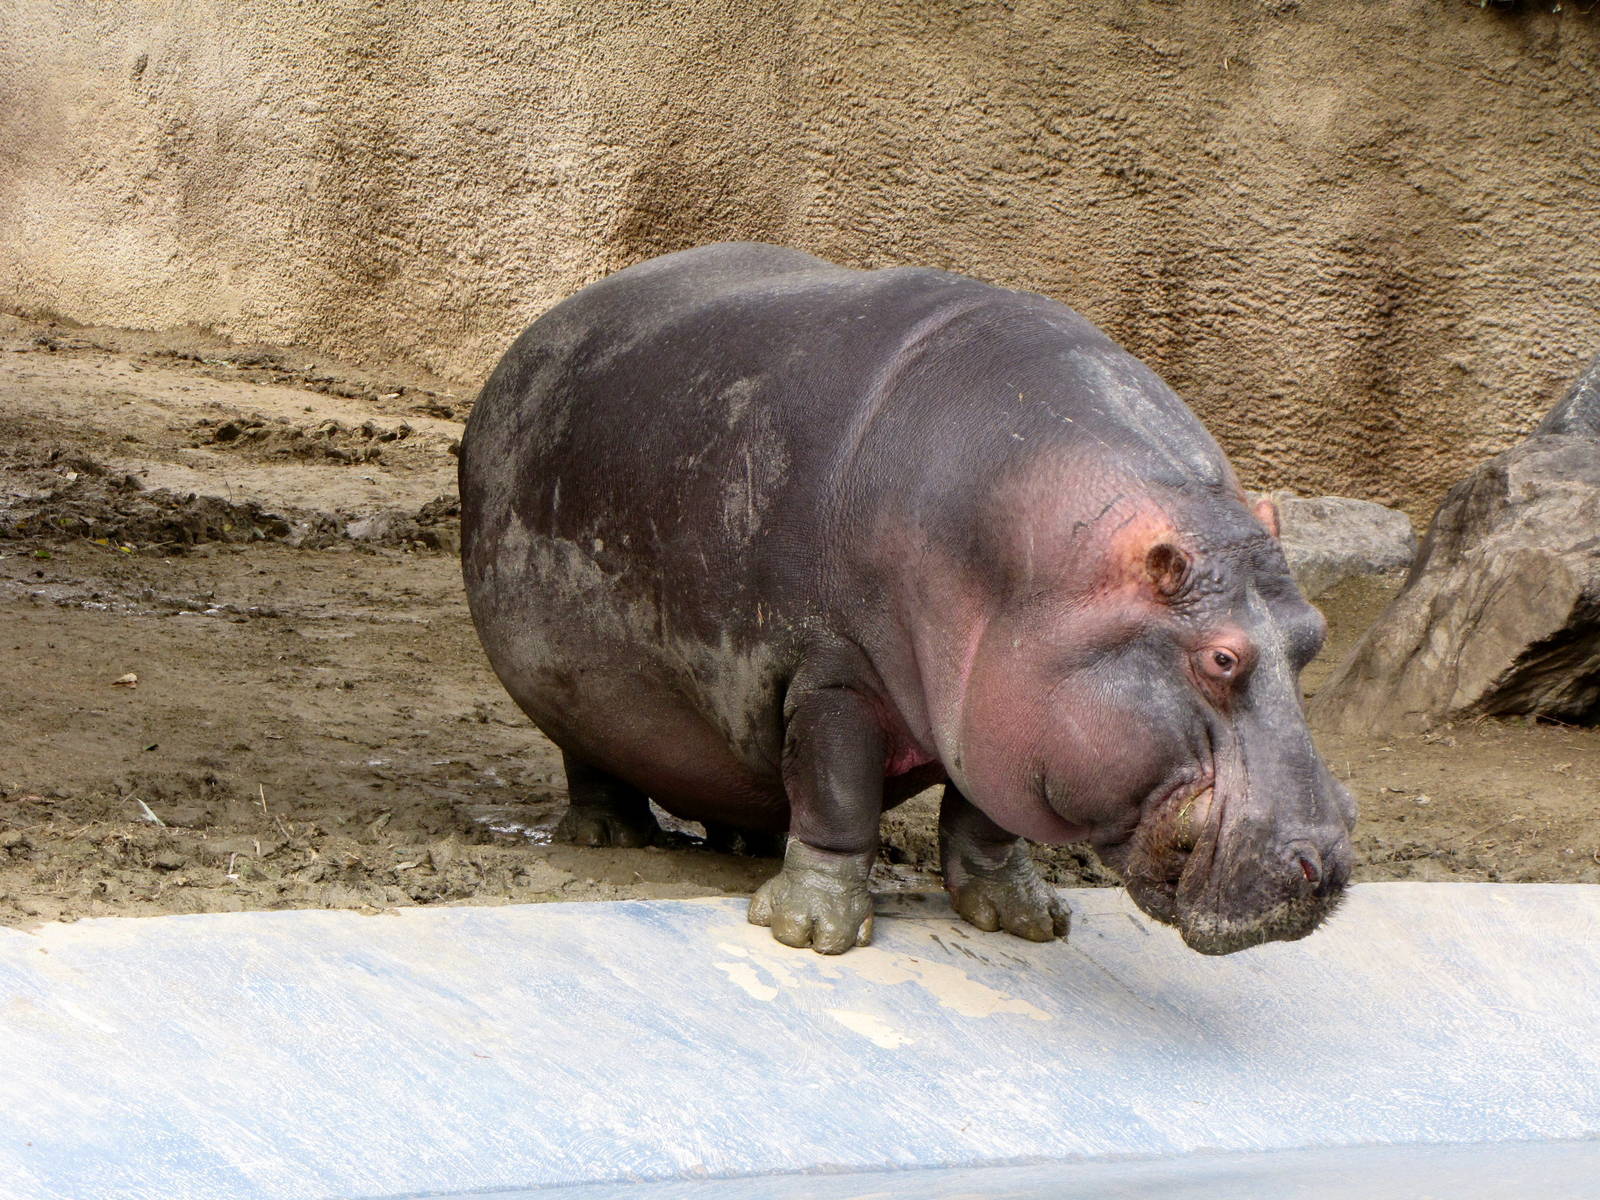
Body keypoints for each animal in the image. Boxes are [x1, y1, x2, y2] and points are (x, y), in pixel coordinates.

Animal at [459, 243, 1355, 956]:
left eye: (1313, 634)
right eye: (1222, 658)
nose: (1328, 867)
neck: (1043, 573)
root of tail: (539, 329)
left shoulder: (1005, 719)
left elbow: (988, 819)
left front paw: (1024, 920)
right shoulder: (835, 673)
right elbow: (838, 793)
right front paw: (811, 932)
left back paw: (747, 840)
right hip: (564, 686)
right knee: (593, 761)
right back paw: (609, 835)